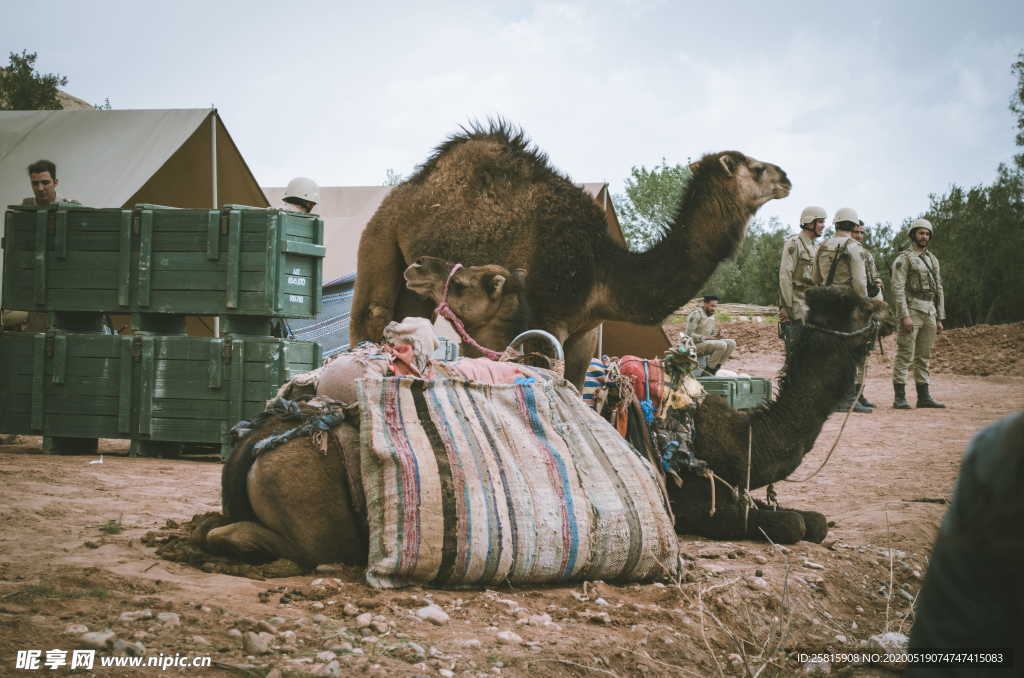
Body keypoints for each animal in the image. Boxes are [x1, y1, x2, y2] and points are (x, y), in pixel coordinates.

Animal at [348, 122, 786, 387]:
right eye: (756, 168)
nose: (786, 177)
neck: (603, 270)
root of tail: (405, 192)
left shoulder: (585, 331)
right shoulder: (547, 320)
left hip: (414, 281)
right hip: (378, 242)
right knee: (370, 318)